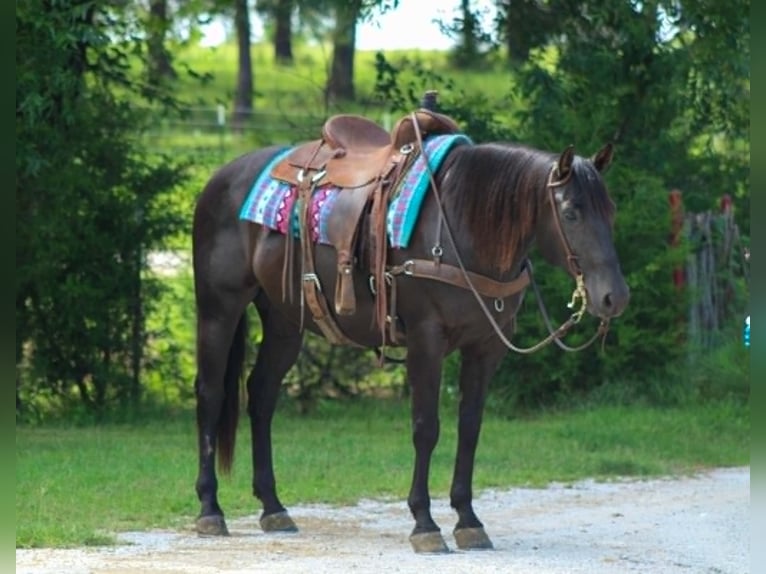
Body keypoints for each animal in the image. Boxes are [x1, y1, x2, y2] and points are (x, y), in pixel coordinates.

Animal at [190, 113, 630, 553]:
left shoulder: (485, 348)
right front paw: (425, 524)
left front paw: (468, 520)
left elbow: (470, 428)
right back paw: (210, 509)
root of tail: (221, 176)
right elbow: (426, 428)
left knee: (262, 395)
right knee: (211, 394)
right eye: (571, 213)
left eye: (610, 210)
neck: (462, 227)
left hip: (284, 321)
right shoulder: (426, 340)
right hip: (219, 308)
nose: (614, 296)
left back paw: (273, 507)